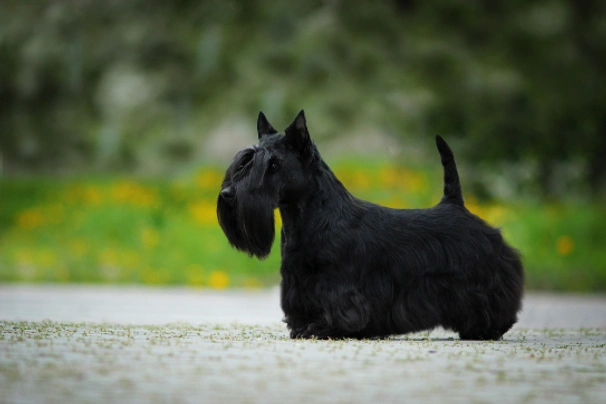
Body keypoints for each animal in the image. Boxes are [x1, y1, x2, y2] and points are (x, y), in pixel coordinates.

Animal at [220, 110, 528, 340]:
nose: (227, 195)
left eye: (273, 164)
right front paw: (303, 326)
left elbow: (340, 309)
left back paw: (486, 328)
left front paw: (322, 329)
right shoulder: (297, 280)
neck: (307, 218)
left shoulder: (338, 283)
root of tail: (456, 205)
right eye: (243, 162)